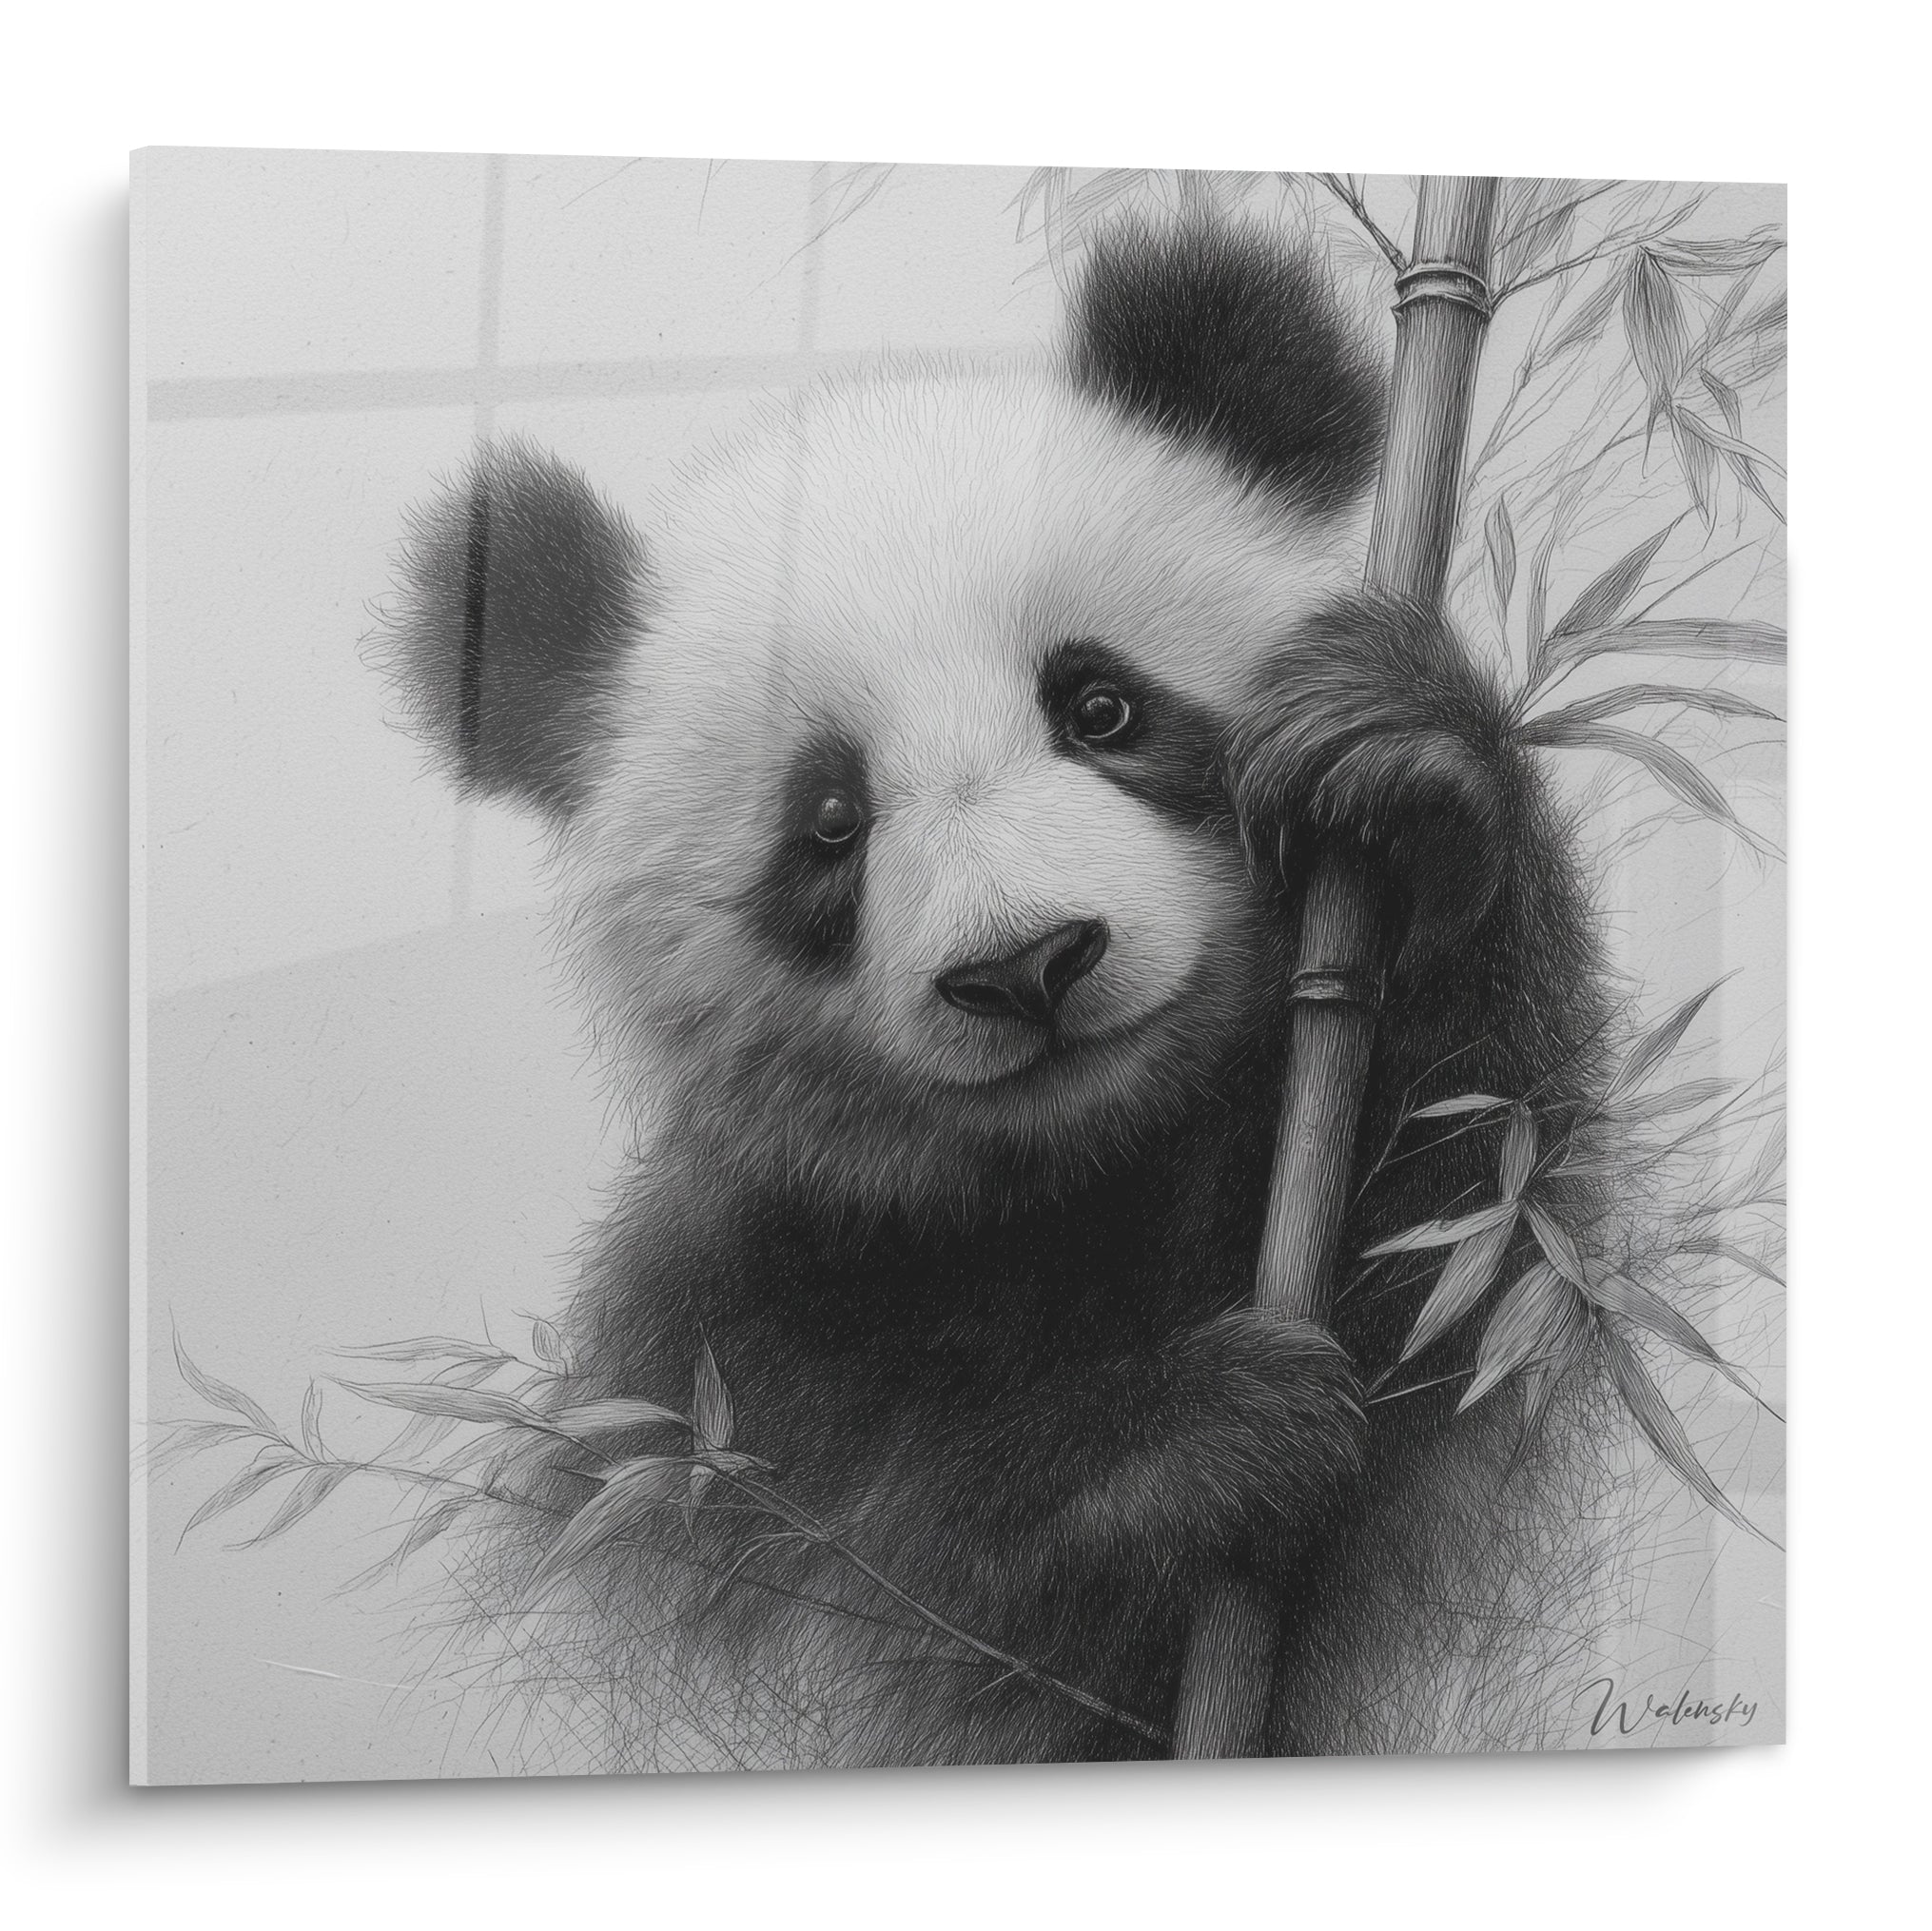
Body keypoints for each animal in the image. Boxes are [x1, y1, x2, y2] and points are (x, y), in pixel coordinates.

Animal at [383, 220, 1608, 1769]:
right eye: (828, 825)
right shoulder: (730, 1335)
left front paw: (1409, 776)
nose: (1028, 967)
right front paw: (1189, 1438)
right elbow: (877, 1581)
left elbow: (1488, 1246)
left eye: (1099, 706)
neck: (1079, 1170)